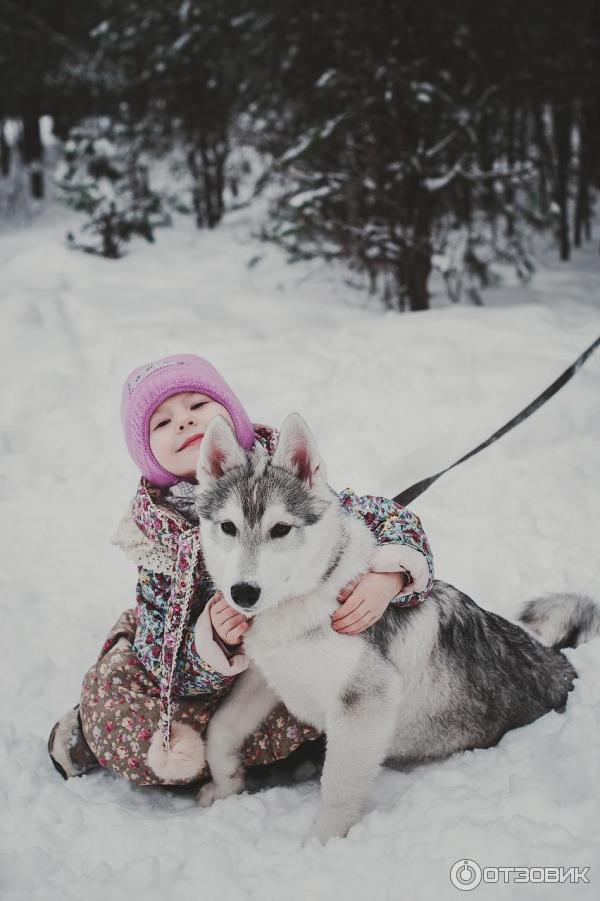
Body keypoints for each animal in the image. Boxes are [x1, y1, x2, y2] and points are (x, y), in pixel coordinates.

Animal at [193, 412, 592, 840]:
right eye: (228, 527)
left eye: (280, 529)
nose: (243, 592)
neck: (311, 595)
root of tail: (562, 662)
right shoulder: (266, 678)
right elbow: (219, 729)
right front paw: (227, 783)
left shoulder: (366, 700)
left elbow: (338, 787)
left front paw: (323, 842)